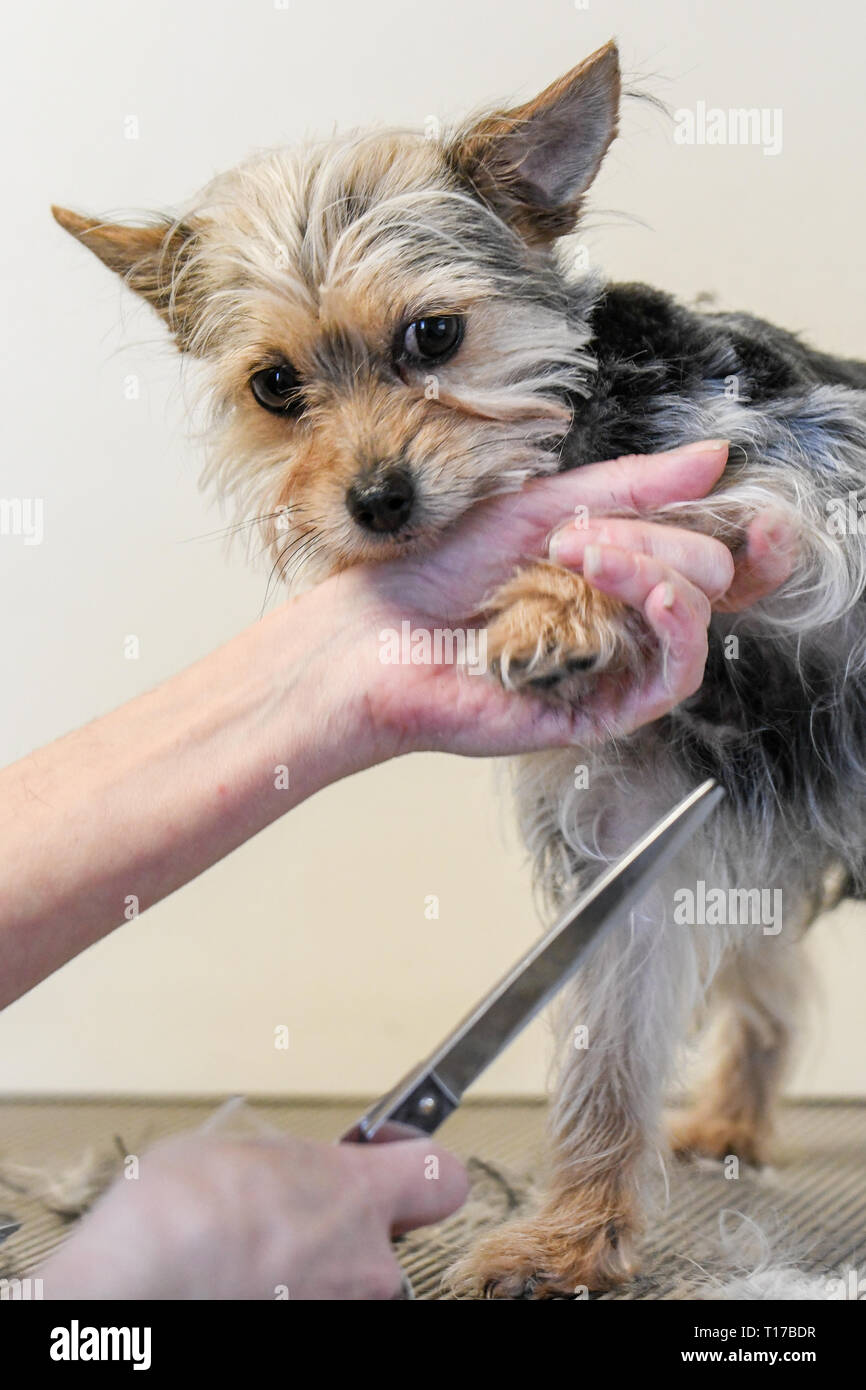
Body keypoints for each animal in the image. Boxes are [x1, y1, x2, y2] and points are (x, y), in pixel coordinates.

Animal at [54, 40, 866, 1301]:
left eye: (433, 336)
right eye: (274, 386)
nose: (377, 501)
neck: (581, 429)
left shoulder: (820, 513)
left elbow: (701, 500)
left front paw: (571, 592)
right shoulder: (635, 816)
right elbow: (608, 1047)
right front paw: (573, 1237)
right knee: (763, 983)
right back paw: (731, 1116)